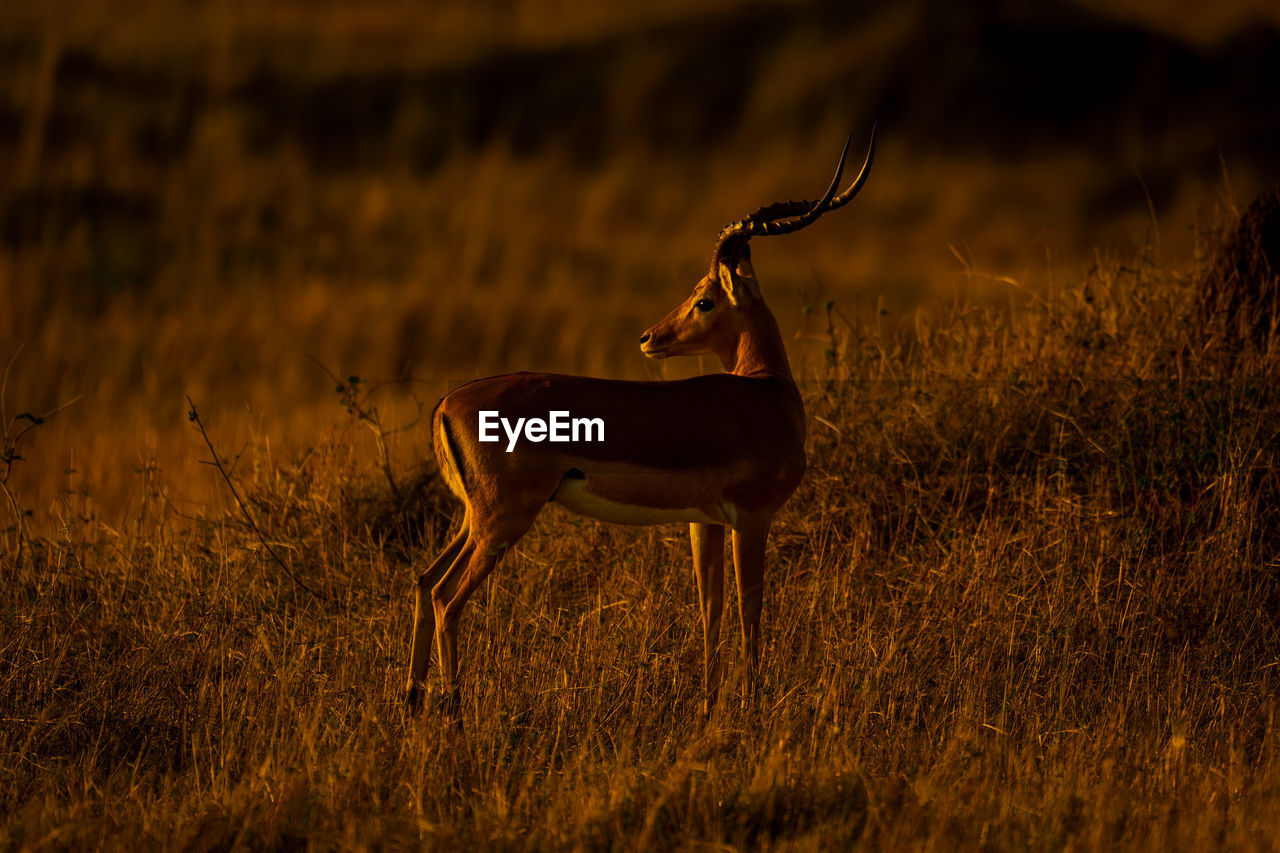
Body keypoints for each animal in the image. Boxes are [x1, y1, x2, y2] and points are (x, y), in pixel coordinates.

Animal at [404, 128, 875, 712]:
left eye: (702, 299)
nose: (650, 337)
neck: (767, 392)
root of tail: (446, 405)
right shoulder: (752, 517)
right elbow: (751, 610)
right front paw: (750, 704)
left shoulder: (704, 521)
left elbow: (712, 610)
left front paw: (709, 705)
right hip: (501, 520)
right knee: (447, 598)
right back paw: (453, 710)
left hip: (476, 517)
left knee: (424, 581)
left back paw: (412, 698)